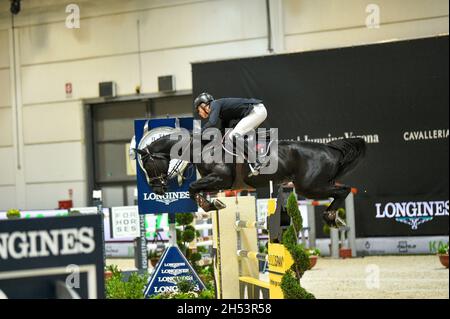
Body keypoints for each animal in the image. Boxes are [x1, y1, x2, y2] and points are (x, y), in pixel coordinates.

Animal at [135, 134, 368, 229]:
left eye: (147, 165)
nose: (158, 190)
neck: (200, 148)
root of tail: (329, 148)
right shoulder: (218, 183)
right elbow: (197, 190)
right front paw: (213, 203)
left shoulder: (221, 178)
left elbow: (193, 188)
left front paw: (210, 205)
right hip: (315, 185)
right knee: (341, 190)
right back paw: (334, 218)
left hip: (310, 187)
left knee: (344, 190)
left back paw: (331, 217)